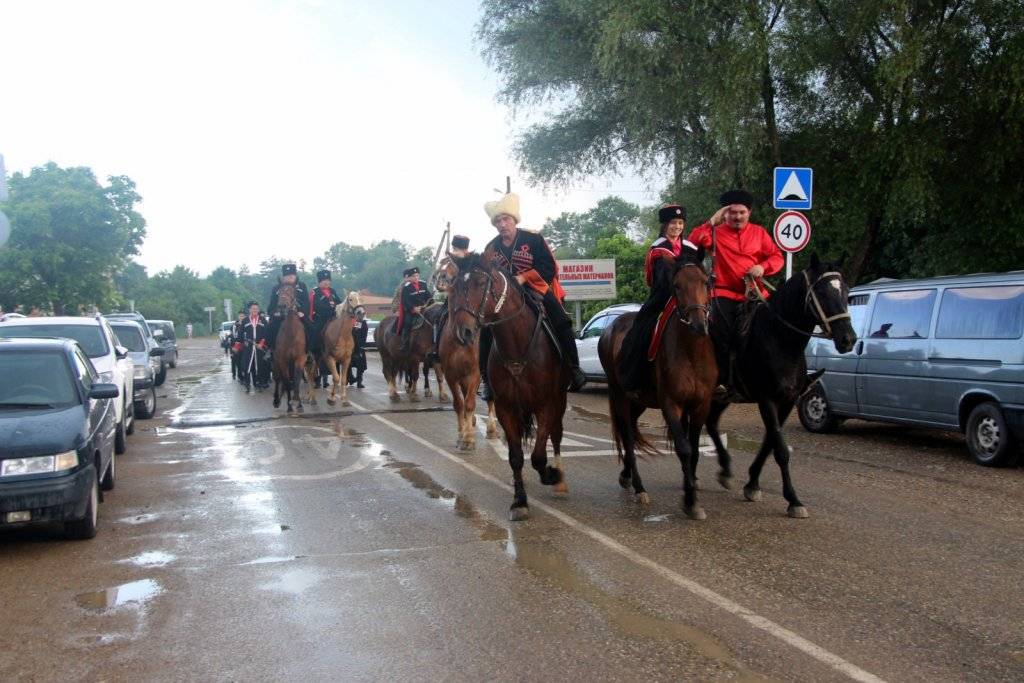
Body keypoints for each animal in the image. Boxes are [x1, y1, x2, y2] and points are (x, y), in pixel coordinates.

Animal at [270, 284, 305, 413]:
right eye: (279, 292)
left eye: (292, 292)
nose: (282, 306)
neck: (291, 334)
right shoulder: (282, 360)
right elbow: (286, 381)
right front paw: (289, 406)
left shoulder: (300, 359)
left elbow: (296, 380)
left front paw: (298, 403)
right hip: (276, 362)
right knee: (278, 379)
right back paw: (276, 400)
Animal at [452, 253, 573, 520]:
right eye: (455, 286)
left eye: (479, 282)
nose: (463, 332)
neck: (517, 345)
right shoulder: (506, 407)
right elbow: (516, 456)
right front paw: (519, 501)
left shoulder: (545, 405)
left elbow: (538, 456)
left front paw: (551, 474)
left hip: (559, 401)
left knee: (557, 435)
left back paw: (560, 479)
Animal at [598, 248, 716, 520]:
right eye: (676, 286)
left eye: (706, 282)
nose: (699, 325)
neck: (691, 352)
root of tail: (609, 328)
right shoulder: (671, 404)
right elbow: (683, 448)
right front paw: (691, 501)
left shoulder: (700, 405)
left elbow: (694, 448)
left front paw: (690, 486)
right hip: (619, 395)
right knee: (627, 434)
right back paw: (639, 487)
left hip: (639, 400)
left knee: (630, 429)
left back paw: (626, 476)